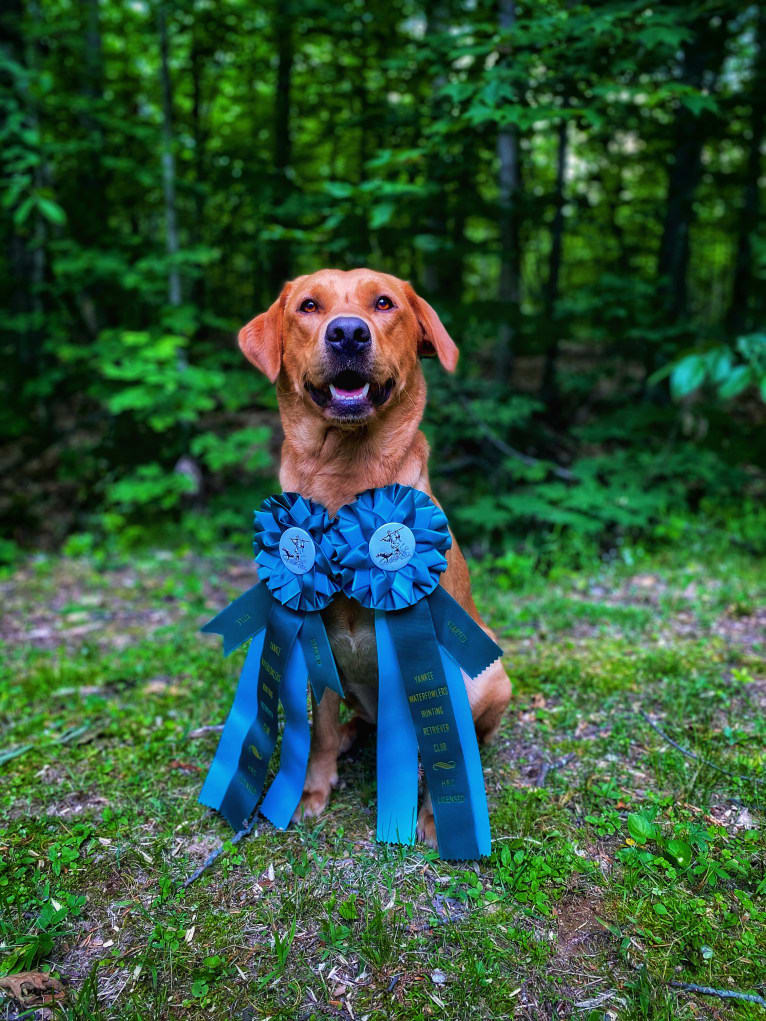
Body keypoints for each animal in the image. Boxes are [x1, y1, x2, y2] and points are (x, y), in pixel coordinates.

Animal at [240, 267, 512, 841]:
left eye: (384, 303)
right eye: (309, 305)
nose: (348, 333)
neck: (346, 476)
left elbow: (441, 748)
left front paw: (435, 815)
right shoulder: (311, 639)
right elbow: (319, 730)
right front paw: (311, 792)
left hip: (491, 677)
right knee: (355, 723)